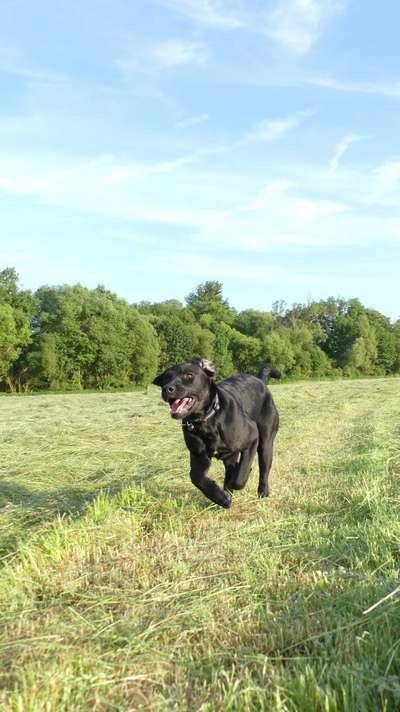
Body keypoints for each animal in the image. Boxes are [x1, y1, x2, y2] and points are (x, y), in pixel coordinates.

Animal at [153, 362, 282, 506]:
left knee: (263, 470)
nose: (167, 389)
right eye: (166, 378)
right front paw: (220, 498)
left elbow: (239, 478)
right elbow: (196, 478)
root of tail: (260, 381)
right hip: (231, 456)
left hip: (265, 444)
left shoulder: (252, 437)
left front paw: (239, 479)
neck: (206, 421)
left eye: (189, 375)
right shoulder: (199, 456)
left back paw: (263, 492)